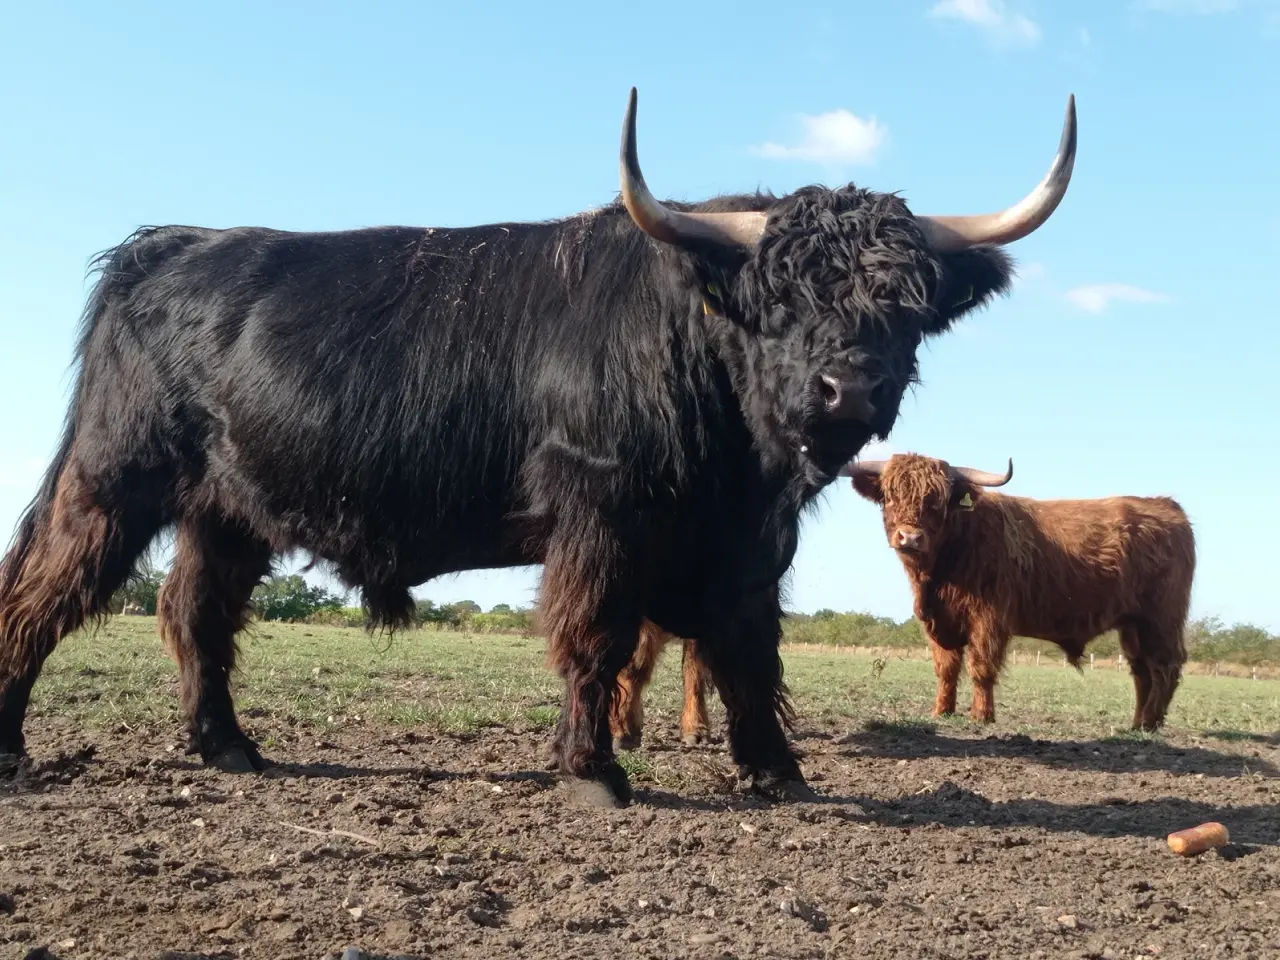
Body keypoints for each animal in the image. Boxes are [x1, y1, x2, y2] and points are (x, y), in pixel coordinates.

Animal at [0, 87, 1078, 807]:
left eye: (905, 304)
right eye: (778, 299)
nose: (847, 388)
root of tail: (172, 241)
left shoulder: (745, 545)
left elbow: (747, 647)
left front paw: (776, 772)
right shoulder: (598, 516)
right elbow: (594, 637)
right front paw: (593, 773)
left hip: (229, 507)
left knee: (196, 611)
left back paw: (228, 747)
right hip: (113, 475)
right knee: (46, 591)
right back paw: (16, 742)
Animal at [844, 453, 1195, 731]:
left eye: (937, 501)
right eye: (890, 496)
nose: (910, 538)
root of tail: (1165, 505)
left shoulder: (988, 619)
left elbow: (981, 666)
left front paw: (981, 716)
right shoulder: (939, 621)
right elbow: (946, 668)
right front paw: (941, 711)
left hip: (1161, 619)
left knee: (1165, 667)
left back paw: (1149, 723)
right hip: (1132, 625)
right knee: (1141, 671)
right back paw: (1136, 724)